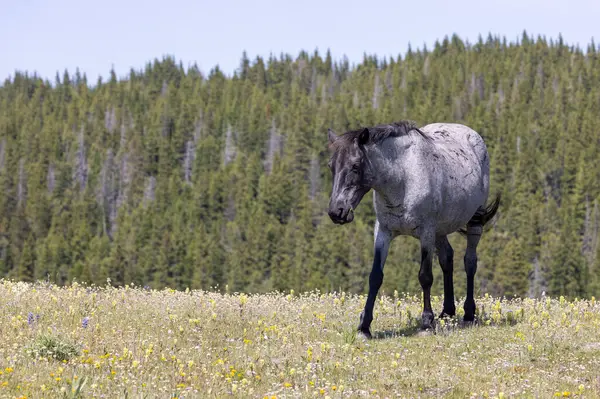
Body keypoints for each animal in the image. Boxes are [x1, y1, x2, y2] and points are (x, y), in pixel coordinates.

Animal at [326, 120, 500, 340]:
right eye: (331, 166)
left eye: (355, 166)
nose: (336, 212)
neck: (403, 179)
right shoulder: (383, 232)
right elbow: (375, 277)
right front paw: (364, 327)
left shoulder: (426, 233)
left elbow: (425, 276)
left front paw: (426, 323)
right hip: (440, 230)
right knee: (447, 259)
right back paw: (447, 312)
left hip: (472, 222)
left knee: (469, 262)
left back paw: (468, 314)